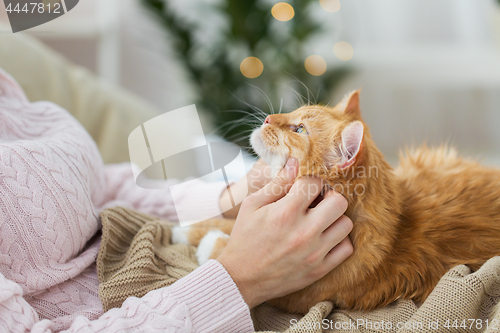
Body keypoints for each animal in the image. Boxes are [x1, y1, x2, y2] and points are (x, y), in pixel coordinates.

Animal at [171, 91, 500, 314]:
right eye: (292, 114)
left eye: (299, 129)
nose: (266, 118)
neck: (396, 231)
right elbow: (226, 223)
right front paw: (188, 228)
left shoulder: (291, 294)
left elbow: (224, 244)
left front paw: (204, 241)